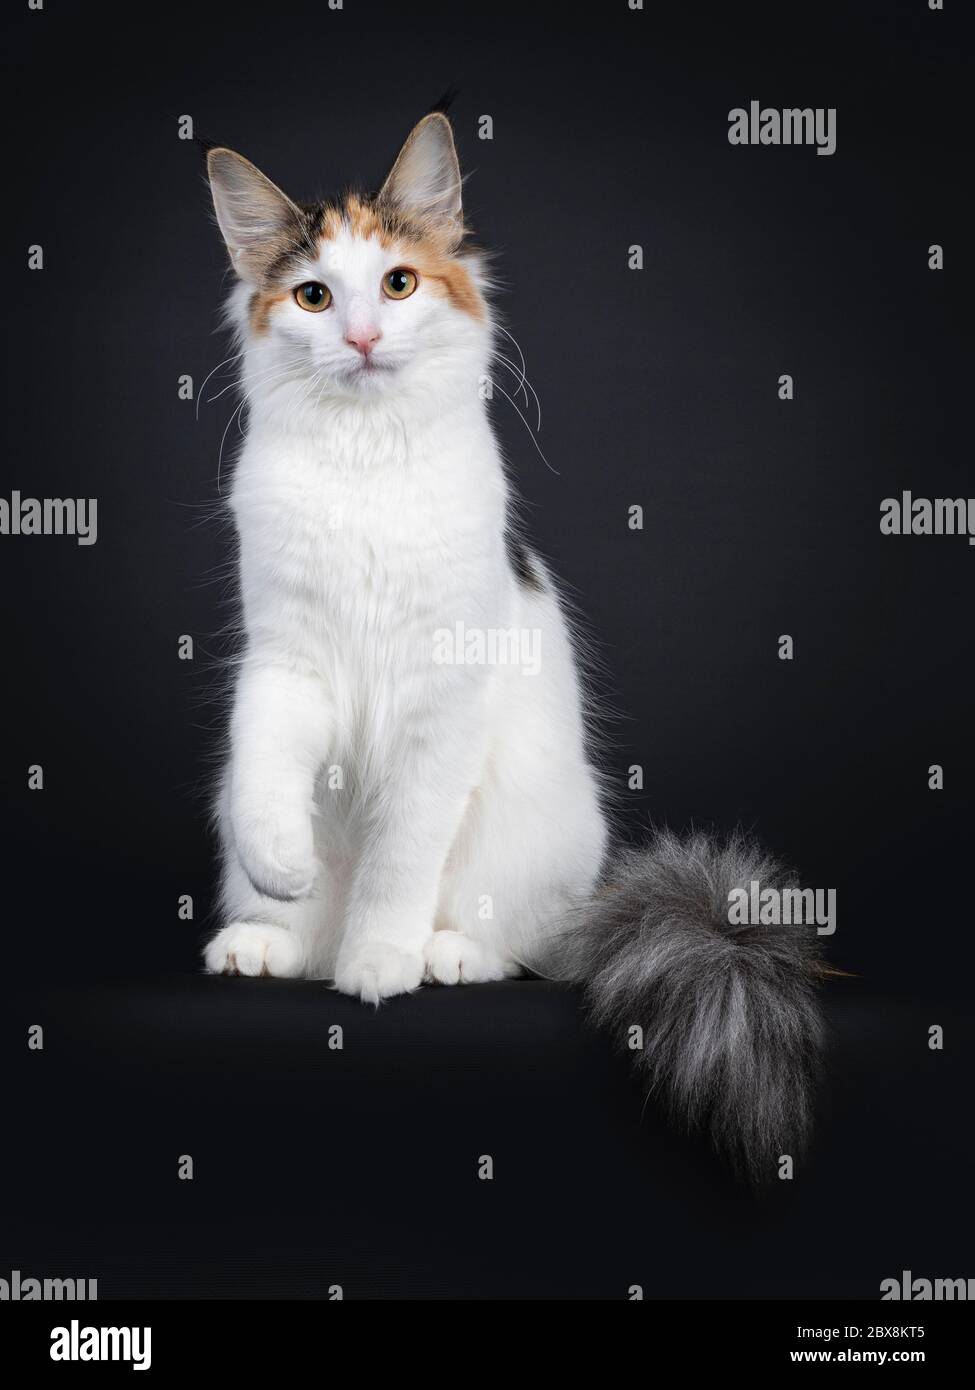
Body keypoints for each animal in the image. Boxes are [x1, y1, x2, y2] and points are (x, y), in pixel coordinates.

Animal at [200, 108, 823, 1178]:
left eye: (397, 284)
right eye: (315, 296)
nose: (361, 336)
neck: (365, 463)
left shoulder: (438, 705)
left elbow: (400, 858)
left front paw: (379, 961)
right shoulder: (287, 665)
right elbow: (268, 776)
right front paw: (286, 868)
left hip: (536, 834)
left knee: (533, 951)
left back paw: (441, 954)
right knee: (302, 917)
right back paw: (272, 941)